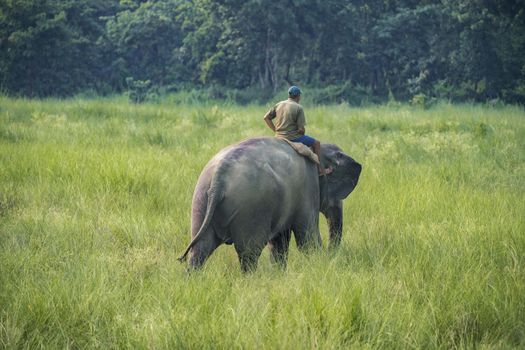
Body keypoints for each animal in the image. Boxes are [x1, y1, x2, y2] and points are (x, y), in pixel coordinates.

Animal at [177, 136, 360, 270]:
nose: (330, 255)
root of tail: (219, 178)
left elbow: (280, 240)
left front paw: (278, 274)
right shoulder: (308, 189)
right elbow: (307, 239)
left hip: (201, 199)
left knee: (200, 248)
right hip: (251, 207)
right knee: (249, 253)